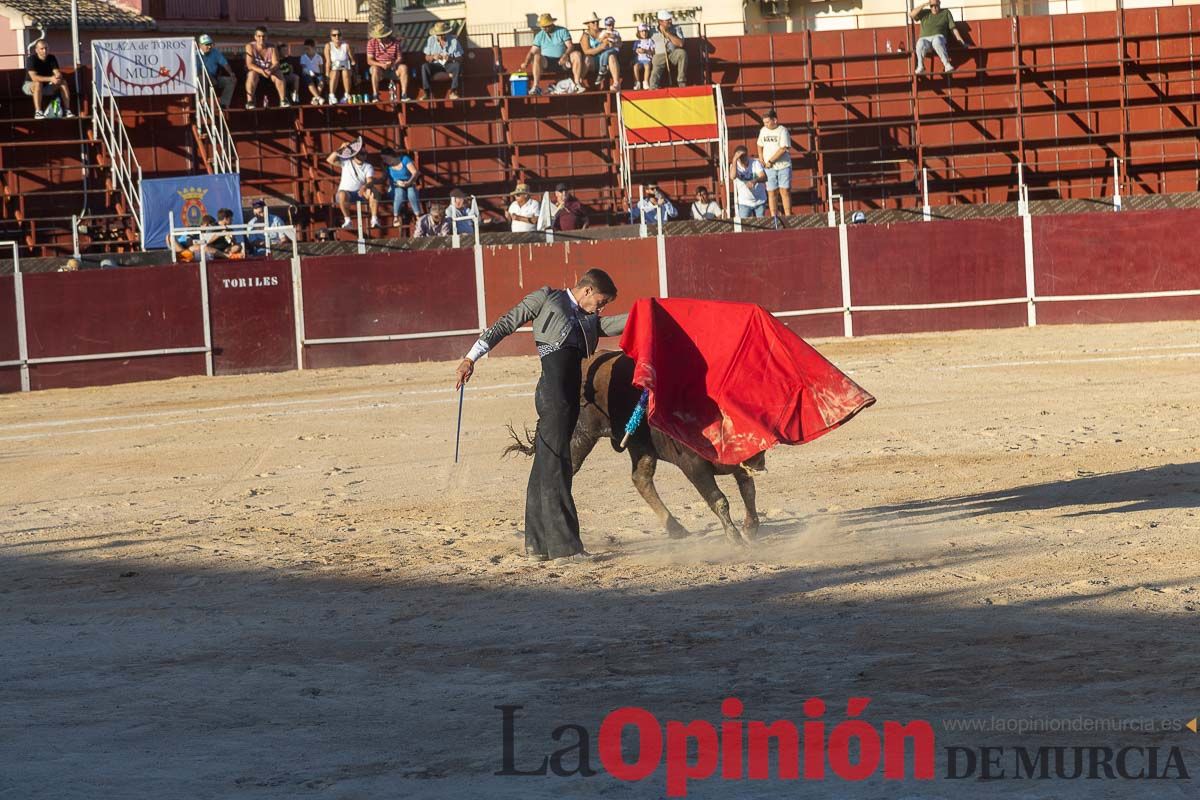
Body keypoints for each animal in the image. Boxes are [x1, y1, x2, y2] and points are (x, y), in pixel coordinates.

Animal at [504, 350, 763, 544]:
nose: (759, 461)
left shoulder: (738, 466)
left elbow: (749, 491)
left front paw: (750, 529)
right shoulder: (694, 466)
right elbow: (719, 499)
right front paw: (735, 538)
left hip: (641, 446)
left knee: (641, 478)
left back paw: (675, 528)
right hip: (580, 435)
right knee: (565, 470)